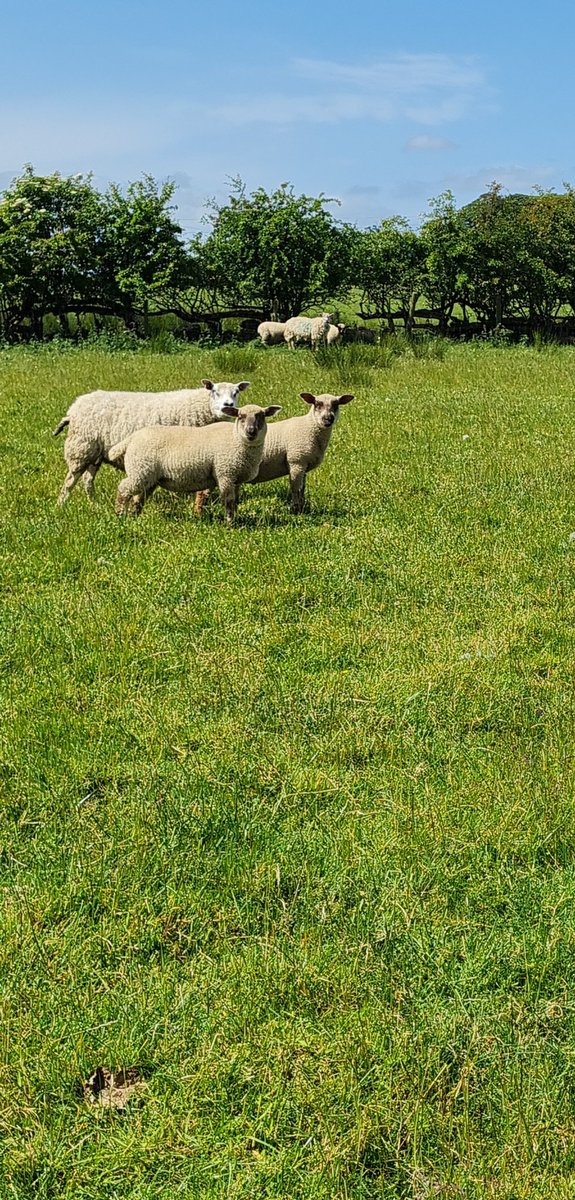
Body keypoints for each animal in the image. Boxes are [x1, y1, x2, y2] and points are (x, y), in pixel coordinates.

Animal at [53, 379, 250, 505]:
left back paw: (94, 503)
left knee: (87, 480)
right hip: (81, 448)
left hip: (95, 453)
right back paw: (61, 505)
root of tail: (73, 408)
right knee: (70, 481)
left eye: (236, 393)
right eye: (215, 392)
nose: (228, 405)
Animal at [111, 403, 282, 524]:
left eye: (261, 416)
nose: (251, 431)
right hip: (140, 470)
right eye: (241, 416)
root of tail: (132, 438)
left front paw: (236, 519)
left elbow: (235, 501)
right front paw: (229, 524)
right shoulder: (225, 473)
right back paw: (120, 515)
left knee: (139, 497)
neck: (236, 440)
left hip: (148, 476)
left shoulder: (235, 477)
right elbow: (228, 501)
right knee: (124, 489)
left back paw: (134, 517)